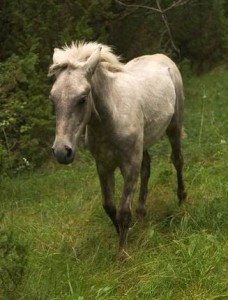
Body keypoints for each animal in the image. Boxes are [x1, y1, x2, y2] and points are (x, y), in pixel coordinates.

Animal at [48, 41, 187, 258]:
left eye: (82, 98)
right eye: (52, 99)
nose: (62, 152)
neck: (110, 117)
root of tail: (163, 58)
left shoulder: (129, 164)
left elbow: (122, 211)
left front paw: (122, 253)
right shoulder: (104, 165)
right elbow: (109, 206)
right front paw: (121, 232)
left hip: (174, 127)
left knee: (178, 160)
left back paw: (181, 200)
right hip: (142, 146)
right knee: (147, 168)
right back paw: (141, 213)